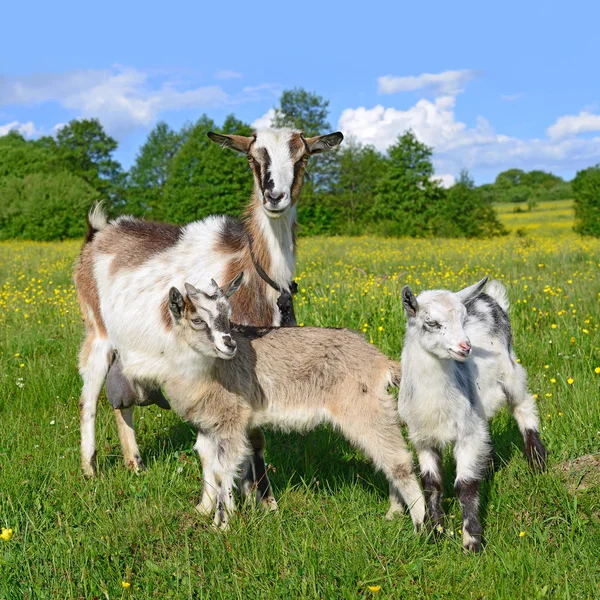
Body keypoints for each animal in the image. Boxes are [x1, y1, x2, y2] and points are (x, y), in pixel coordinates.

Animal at [72, 129, 342, 504]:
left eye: (302, 157)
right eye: (253, 158)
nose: (274, 197)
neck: (253, 274)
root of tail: (97, 234)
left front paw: (255, 495)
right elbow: (242, 435)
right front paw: (257, 499)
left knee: (121, 401)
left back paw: (135, 464)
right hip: (96, 331)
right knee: (88, 401)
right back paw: (89, 470)